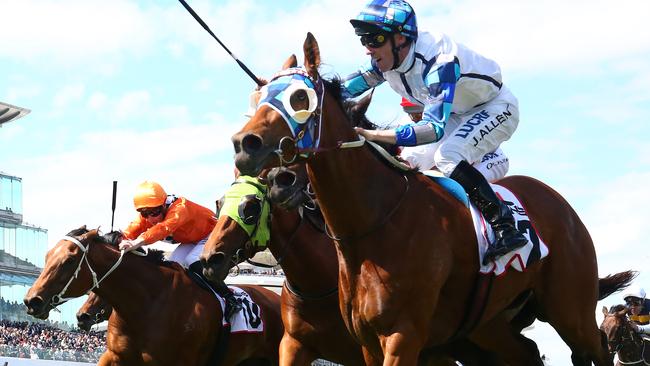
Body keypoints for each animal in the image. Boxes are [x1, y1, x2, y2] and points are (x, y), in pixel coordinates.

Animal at [232, 33, 632, 364]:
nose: (245, 146)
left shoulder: (404, 335)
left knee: (594, 346)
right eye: (259, 98)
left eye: (300, 98)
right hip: (493, 324)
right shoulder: (365, 340)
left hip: (569, 307)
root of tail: (563, 207)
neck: (374, 221)